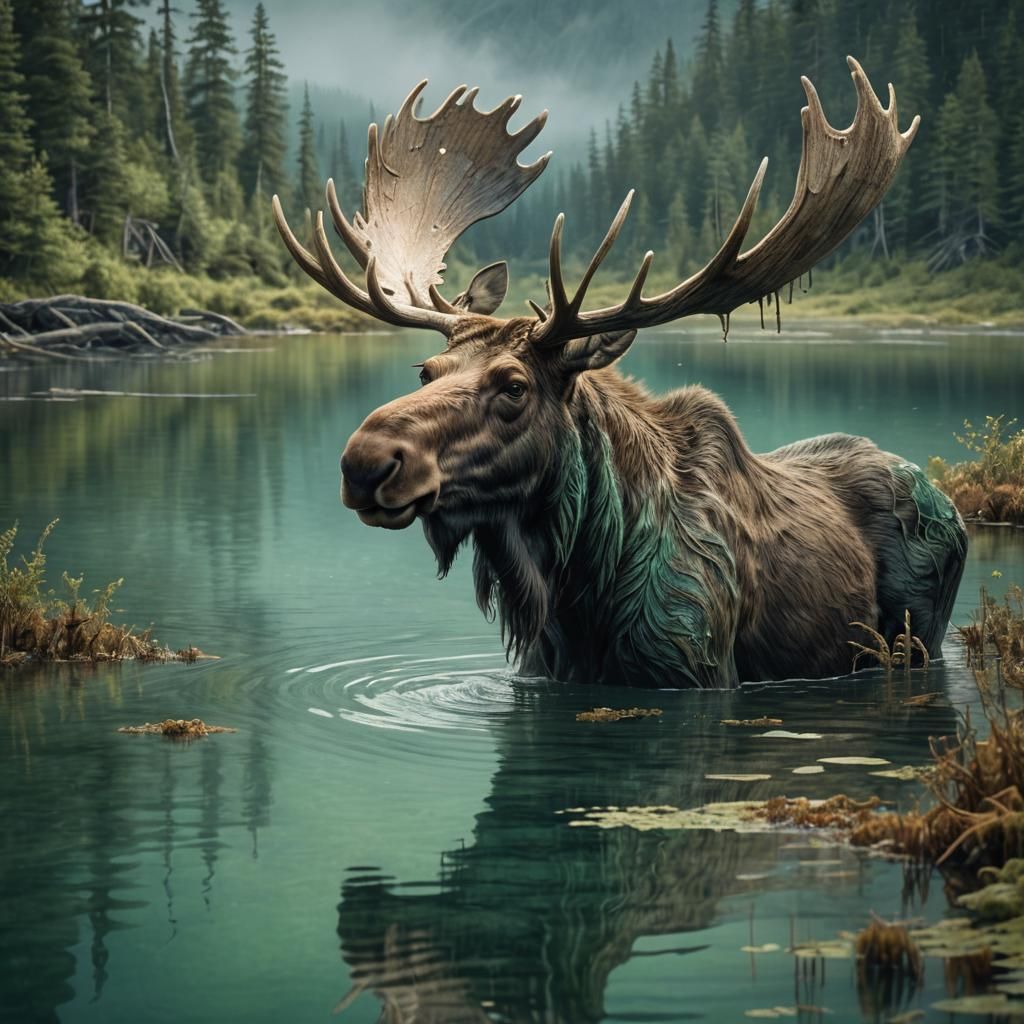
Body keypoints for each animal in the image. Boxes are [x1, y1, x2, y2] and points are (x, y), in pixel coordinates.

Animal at [272, 57, 967, 688]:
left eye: (515, 387)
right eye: (426, 370)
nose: (365, 461)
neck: (580, 596)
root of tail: (945, 497)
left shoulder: (697, 673)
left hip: (919, 638)